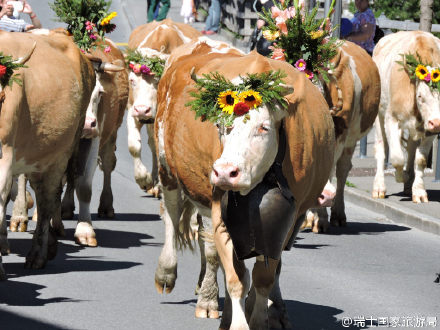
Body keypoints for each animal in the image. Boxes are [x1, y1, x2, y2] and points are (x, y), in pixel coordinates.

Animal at [127, 19, 201, 195]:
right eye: (132, 80)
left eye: (158, 81)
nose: (142, 109)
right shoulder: (132, 108)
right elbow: (133, 145)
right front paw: (143, 179)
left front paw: (156, 183)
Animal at [155, 43, 334, 328]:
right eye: (221, 124)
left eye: (263, 127)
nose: (225, 172)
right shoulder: (219, 212)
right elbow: (236, 277)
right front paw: (239, 321)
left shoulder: (286, 221)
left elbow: (264, 277)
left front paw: (261, 317)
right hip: (167, 167)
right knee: (172, 217)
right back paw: (171, 277)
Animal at [372, 31, 440, 202]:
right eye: (421, 96)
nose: (437, 123)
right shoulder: (391, 118)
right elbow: (397, 158)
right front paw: (401, 176)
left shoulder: (429, 129)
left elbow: (420, 159)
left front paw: (419, 191)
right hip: (379, 114)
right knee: (382, 148)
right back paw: (379, 187)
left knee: (410, 148)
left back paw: (409, 185)